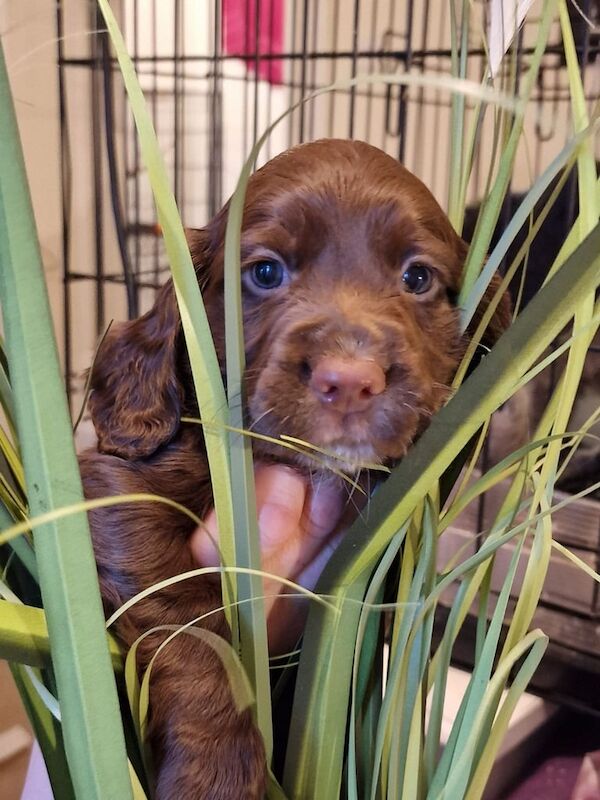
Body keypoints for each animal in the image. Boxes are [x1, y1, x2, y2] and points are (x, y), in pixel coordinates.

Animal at [78, 141, 510, 796]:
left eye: (417, 278)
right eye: (264, 272)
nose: (350, 380)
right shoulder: (115, 485)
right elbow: (188, 622)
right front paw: (217, 775)